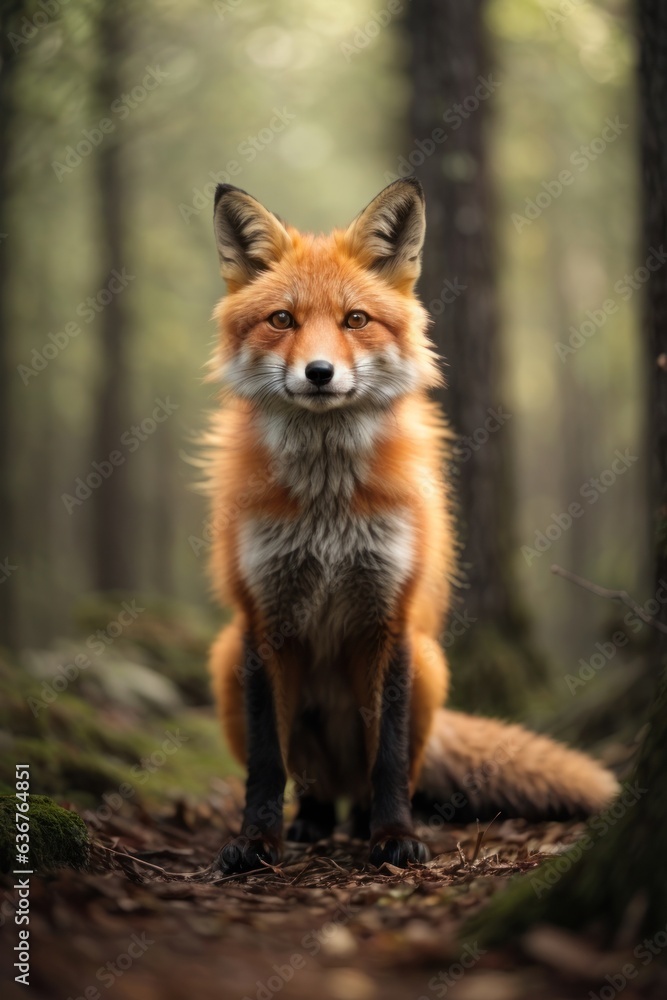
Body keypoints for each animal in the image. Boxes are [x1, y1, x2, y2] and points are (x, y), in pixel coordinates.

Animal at [206, 182, 620, 876]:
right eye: (283, 320)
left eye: (355, 320)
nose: (319, 373)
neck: (328, 509)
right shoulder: (264, 619)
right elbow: (266, 764)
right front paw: (257, 842)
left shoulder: (390, 617)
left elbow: (391, 758)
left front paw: (394, 836)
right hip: (227, 657)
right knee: (312, 782)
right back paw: (311, 823)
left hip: (431, 666)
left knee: (384, 771)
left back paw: (368, 822)